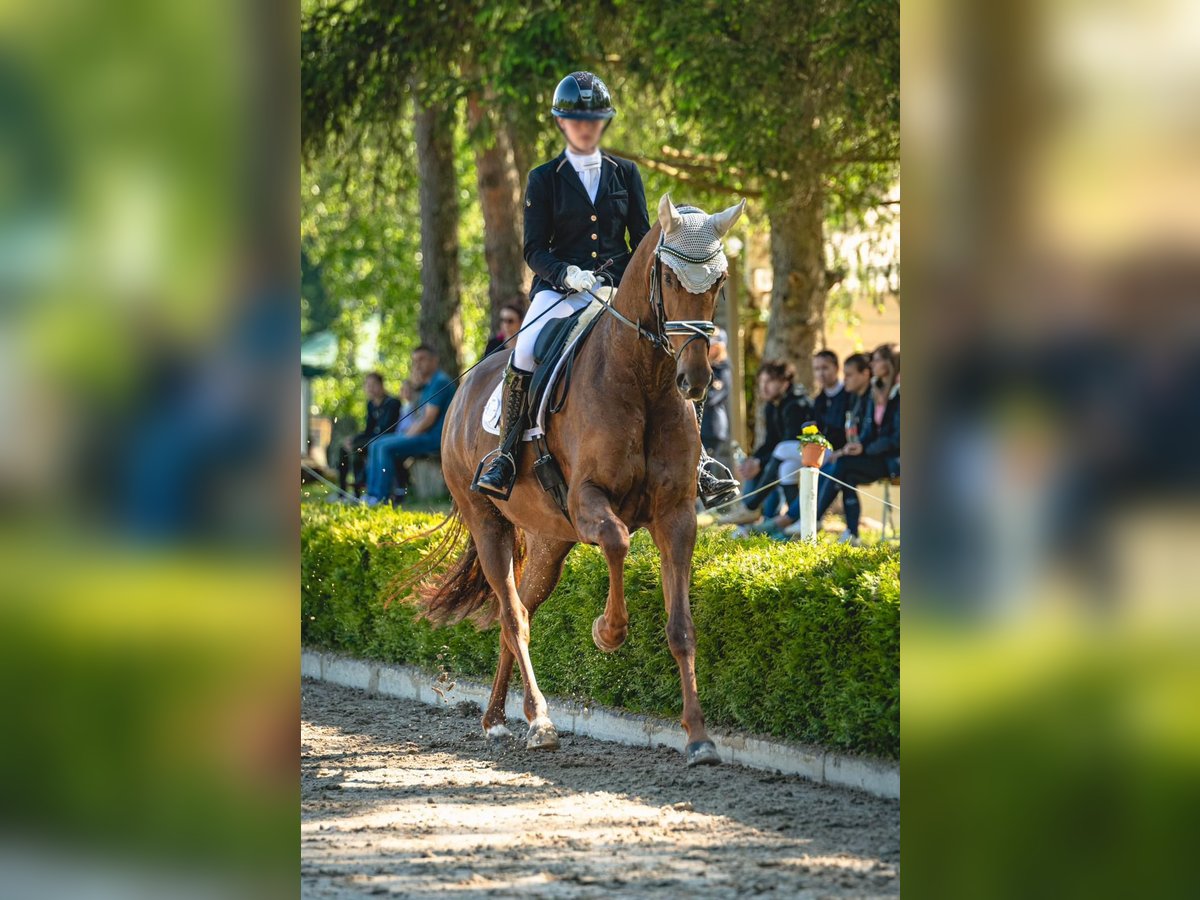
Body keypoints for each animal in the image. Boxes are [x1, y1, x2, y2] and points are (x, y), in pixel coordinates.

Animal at [415, 194, 748, 763]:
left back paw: (498, 718)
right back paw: (539, 720)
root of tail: (461, 392)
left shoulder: (677, 514)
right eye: (668, 276)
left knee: (518, 616)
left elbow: (681, 627)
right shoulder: (589, 499)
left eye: (720, 280)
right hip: (488, 523)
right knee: (513, 617)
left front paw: (699, 738)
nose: (697, 380)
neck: (643, 379)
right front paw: (608, 633)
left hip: (549, 541)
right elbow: (616, 542)